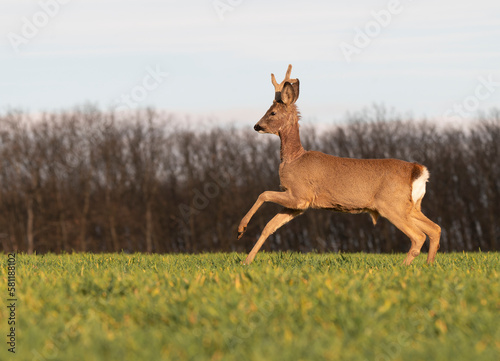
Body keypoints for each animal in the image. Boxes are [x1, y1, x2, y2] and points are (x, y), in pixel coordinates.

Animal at [238, 64, 442, 266]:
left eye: (272, 112)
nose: (256, 126)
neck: (294, 158)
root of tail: (418, 171)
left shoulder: (300, 195)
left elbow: (263, 194)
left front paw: (241, 229)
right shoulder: (298, 205)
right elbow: (269, 226)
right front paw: (247, 261)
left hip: (391, 204)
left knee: (419, 236)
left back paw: (403, 267)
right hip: (412, 206)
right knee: (435, 229)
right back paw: (429, 265)